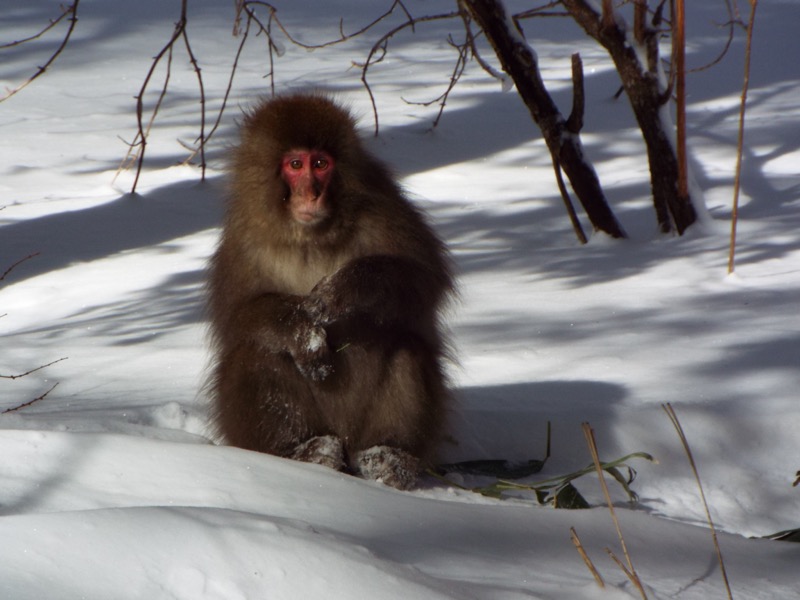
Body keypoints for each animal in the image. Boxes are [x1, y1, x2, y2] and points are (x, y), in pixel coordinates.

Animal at [206, 92, 454, 488]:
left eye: (321, 164)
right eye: (295, 164)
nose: (311, 192)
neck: (312, 236)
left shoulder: (384, 208)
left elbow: (423, 279)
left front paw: (342, 292)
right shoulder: (243, 238)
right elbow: (238, 316)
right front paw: (301, 332)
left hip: (361, 431)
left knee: (406, 344)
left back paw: (386, 459)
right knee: (255, 352)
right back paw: (305, 453)